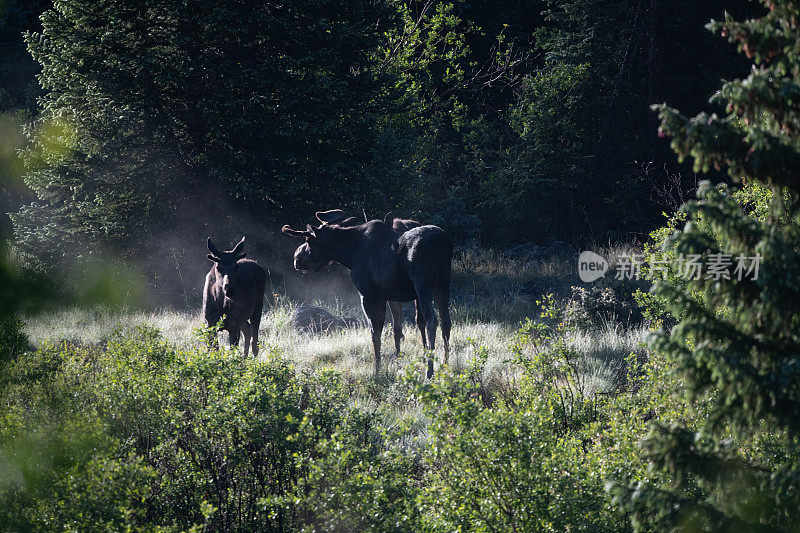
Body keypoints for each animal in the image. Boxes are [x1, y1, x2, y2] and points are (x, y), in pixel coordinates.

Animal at [282, 210, 454, 376]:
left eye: (308, 240)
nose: (296, 258)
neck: (349, 255)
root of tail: (444, 242)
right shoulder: (390, 297)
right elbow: (395, 330)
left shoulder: (369, 296)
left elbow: (375, 332)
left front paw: (377, 370)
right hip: (443, 282)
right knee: (446, 321)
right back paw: (445, 364)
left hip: (423, 283)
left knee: (432, 320)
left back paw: (430, 371)